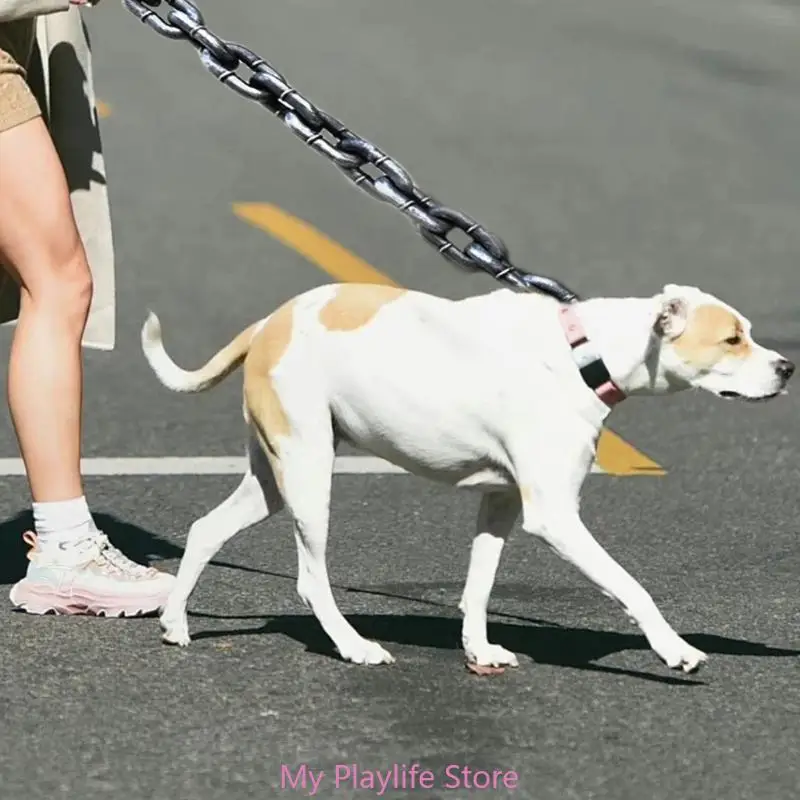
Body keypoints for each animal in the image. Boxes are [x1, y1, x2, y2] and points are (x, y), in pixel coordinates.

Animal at [142, 282, 792, 676]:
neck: (583, 351)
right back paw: (353, 645)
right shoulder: (555, 517)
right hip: (309, 476)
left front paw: (478, 649)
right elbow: (631, 587)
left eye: (748, 331)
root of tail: (268, 322)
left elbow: (479, 584)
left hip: (275, 481)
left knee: (205, 530)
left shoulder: (502, 502)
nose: (787, 367)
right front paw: (675, 649)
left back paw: (175, 623)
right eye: (732, 339)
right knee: (309, 579)